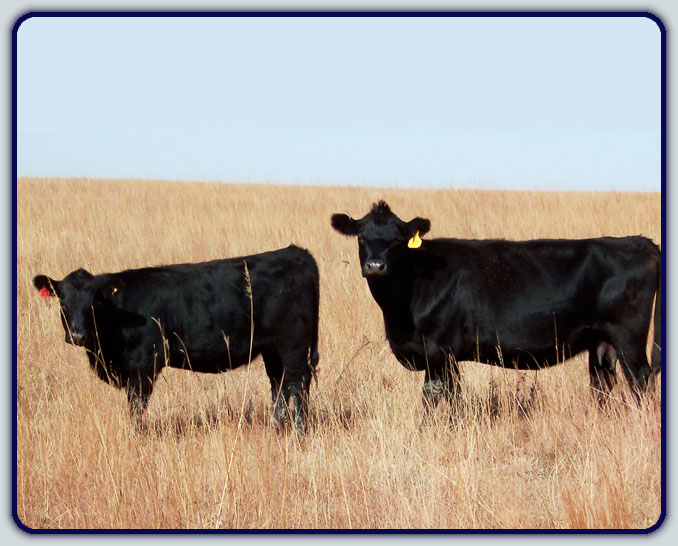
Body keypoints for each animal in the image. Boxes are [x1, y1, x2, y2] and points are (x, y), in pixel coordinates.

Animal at [35, 245, 322, 430]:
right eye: (63, 302)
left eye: (94, 304)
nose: (77, 335)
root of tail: (295, 252)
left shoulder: (143, 366)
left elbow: (136, 407)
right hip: (272, 350)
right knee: (279, 385)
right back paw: (278, 426)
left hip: (293, 347)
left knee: (297, 384)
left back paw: (299, 429)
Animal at [334, 202, 664, 414]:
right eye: (362, 237)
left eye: (398, 240)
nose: (376, 265)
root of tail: (638, 242)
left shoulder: (440, 350)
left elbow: (438, 396)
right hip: (601, 341)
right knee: (603, 383)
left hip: (629, 337)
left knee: (641, 380)